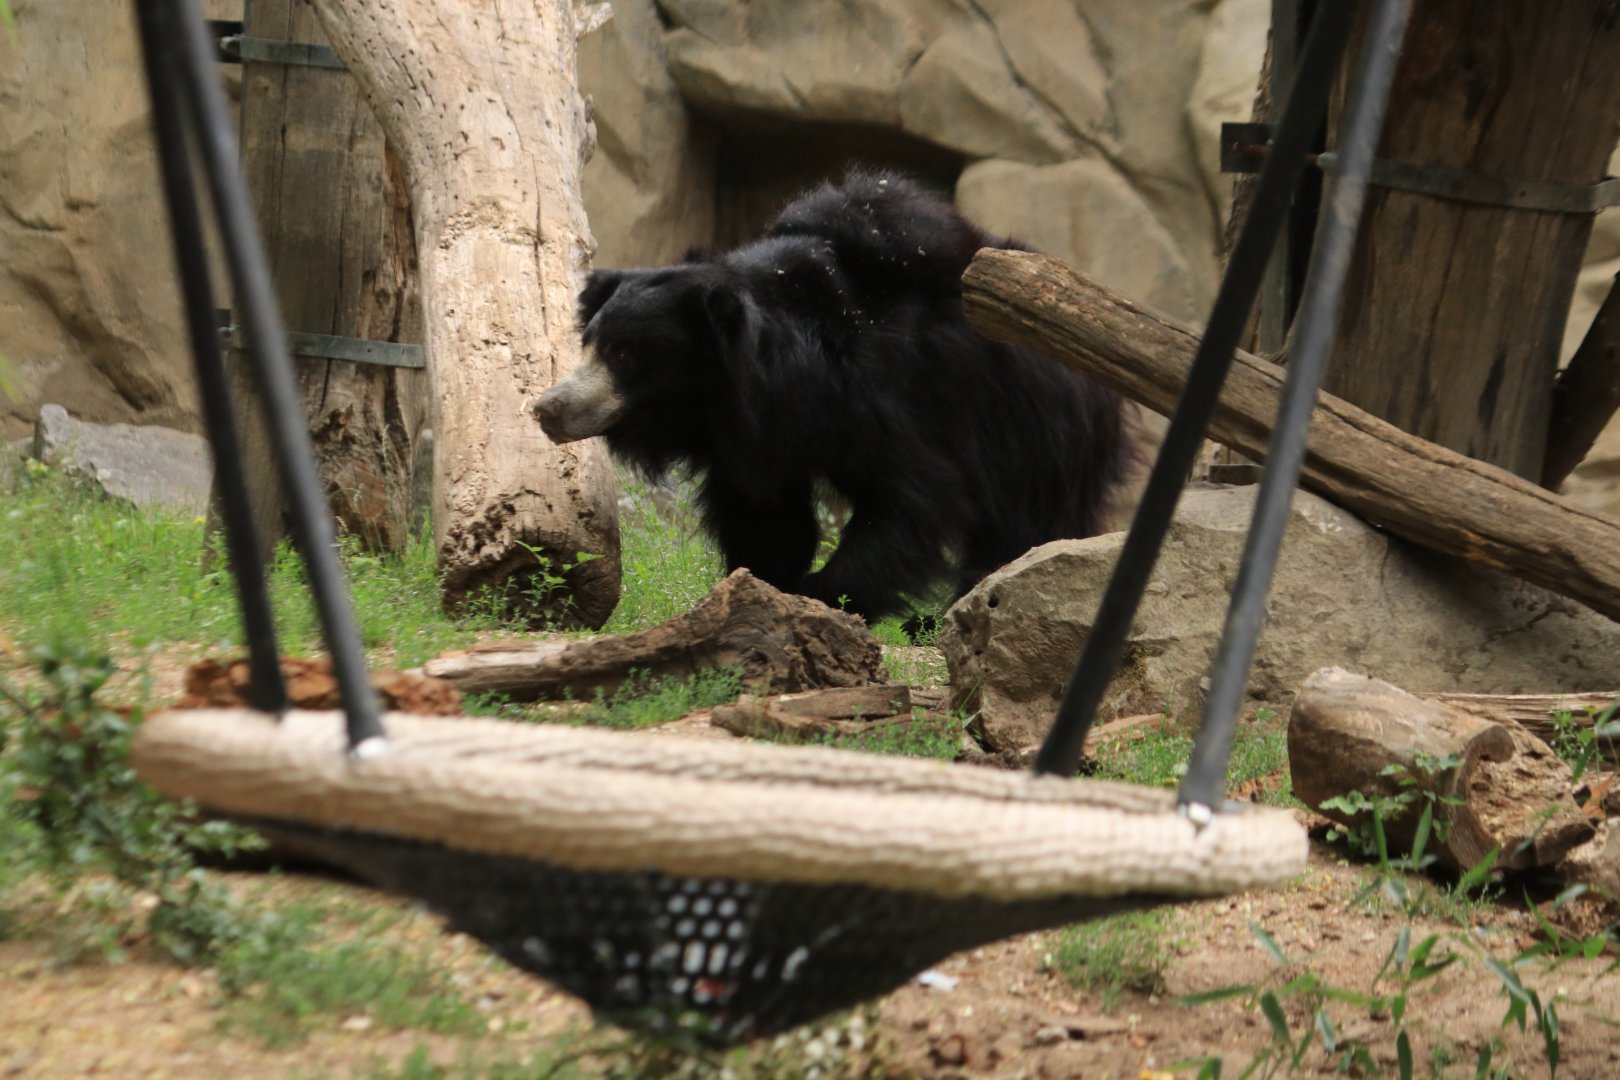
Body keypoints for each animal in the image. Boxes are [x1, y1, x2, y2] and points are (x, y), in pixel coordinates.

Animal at [534, 170, 1129, 624]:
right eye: (591, 344)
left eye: (624, 355)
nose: (546, 409)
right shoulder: (759, 436)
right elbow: (769, 517)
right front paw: (763, 588)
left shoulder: (891, 397)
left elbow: (915, 500)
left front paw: (817, 598)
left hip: (1041, 435)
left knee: (1026, 529)